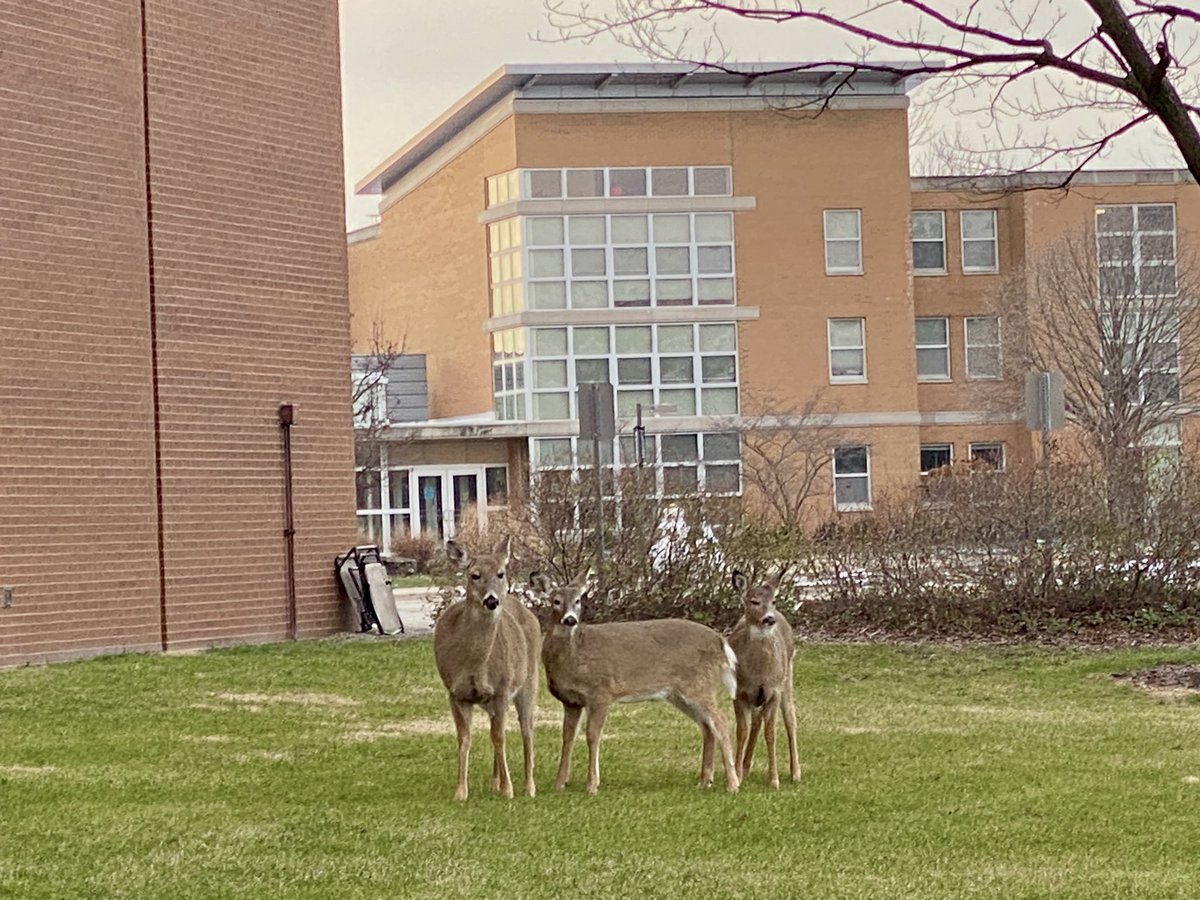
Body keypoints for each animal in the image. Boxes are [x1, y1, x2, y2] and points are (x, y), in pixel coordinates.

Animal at [434, 540, 542, 801]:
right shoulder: (455, 692)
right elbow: (465, 738)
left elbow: (500, 737)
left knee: (526, 731)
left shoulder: (502, 689)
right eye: (475, 575)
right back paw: (495, 782)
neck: (474, 664)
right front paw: (460, 791)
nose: (492, 600)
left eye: (500, 573)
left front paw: (509, 789)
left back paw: (528, 786)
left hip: (529, 681)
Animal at [532, 571, 739, 796]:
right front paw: (560, 783)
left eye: (578, 600)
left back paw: (732, 784)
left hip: (699, 685)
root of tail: (721, 641)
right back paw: (704, 781)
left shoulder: (601, 691)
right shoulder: (571, 701)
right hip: (679, 693)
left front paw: (592, 784)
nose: (570, 619)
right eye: (556, 601)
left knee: (721, 720)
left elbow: (592, 735)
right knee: (707, 726)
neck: (573, 656)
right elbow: (567, 737)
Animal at [724, 571, 801, 787]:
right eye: (754, 601)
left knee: (790, 718)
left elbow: (771, 733)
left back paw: (795, 772)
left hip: (787, 677)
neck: (758, 672)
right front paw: (737, 776)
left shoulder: (773, 691)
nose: (769, 619)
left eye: (773, 600)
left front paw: (774, 780)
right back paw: (745, 766)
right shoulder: (739, 692)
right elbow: (741, 731)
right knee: (756, 720)